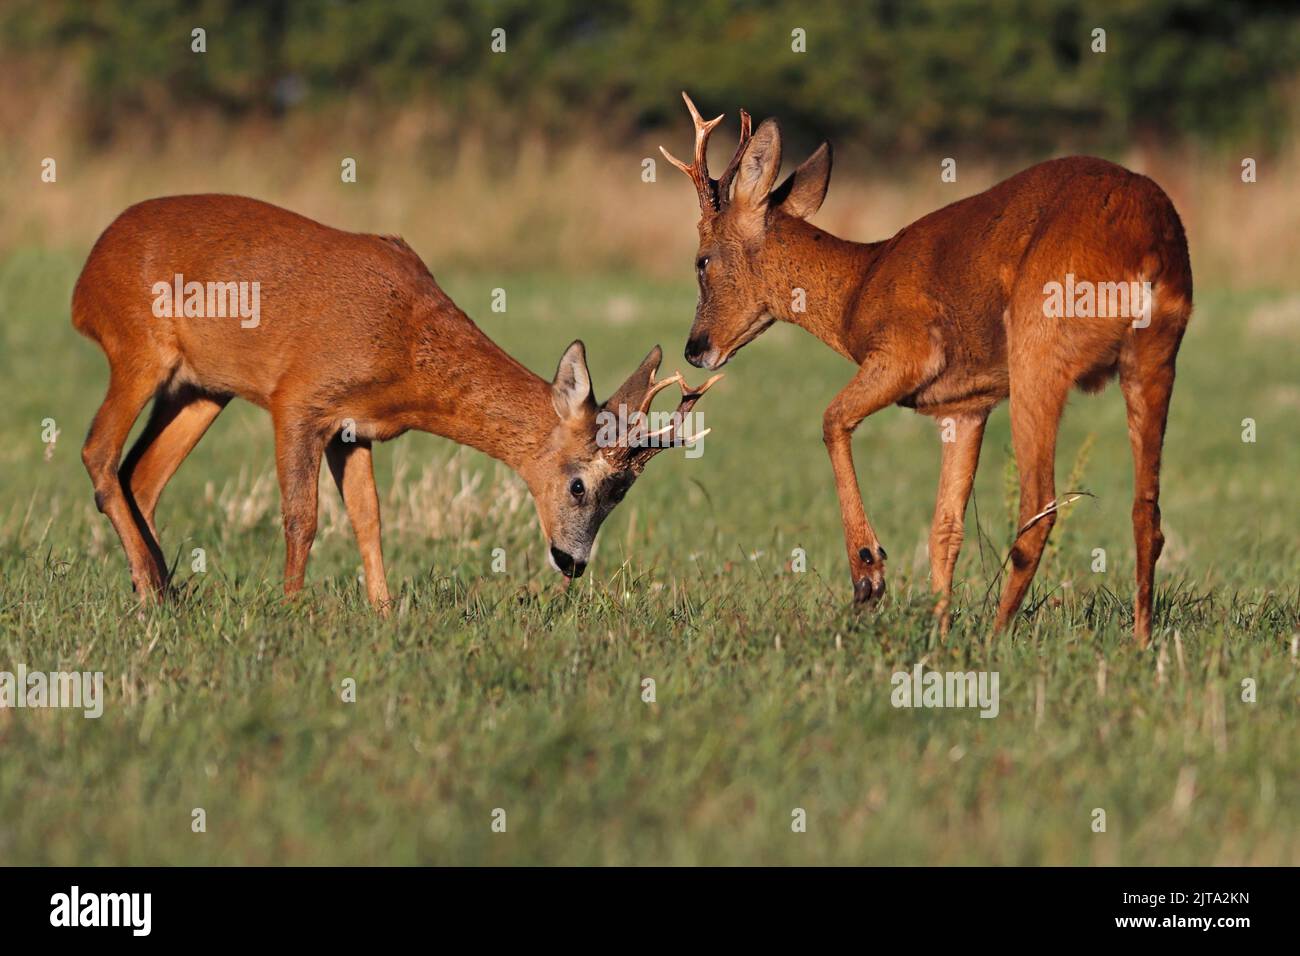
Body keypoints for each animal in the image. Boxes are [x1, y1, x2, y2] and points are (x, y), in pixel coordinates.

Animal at [71, 195, 722, 608]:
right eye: (580, 485)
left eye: (622, 494)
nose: (573, 563)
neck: (406, 352)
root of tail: (84, 280)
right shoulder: (297, 400)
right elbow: (303, 517)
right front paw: (289, 608)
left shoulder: (353, 427)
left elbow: (369, 518)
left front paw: (382, 612)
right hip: (138, 347)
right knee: (99, 454)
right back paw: (153, 588)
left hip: (202, 387)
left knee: (141, 477)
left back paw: (159, 590)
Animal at [665, 93, 1190, 647]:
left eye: (701, 260)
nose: (695, 348)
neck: (860, 287)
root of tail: (1147, 241)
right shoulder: (966, 407)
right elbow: (945, 526)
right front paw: (938, 631)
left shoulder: (907, 351)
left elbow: (832, 420)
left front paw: (869, 573)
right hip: (1155, 355)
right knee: (1146, 511)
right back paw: (1141, 641)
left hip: (1038, 347)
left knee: (1040, 505)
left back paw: (996, 635)